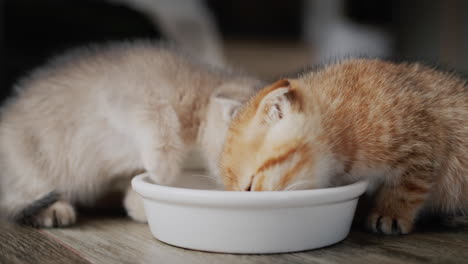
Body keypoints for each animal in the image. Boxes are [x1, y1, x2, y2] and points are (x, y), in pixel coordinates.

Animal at [0, 40, 262, 227]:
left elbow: (133, 186)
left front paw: (140, 206)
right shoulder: (121, 95)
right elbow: (158, 113)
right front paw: (163, 168)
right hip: (26, 161)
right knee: (16, 197)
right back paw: (51, 209)